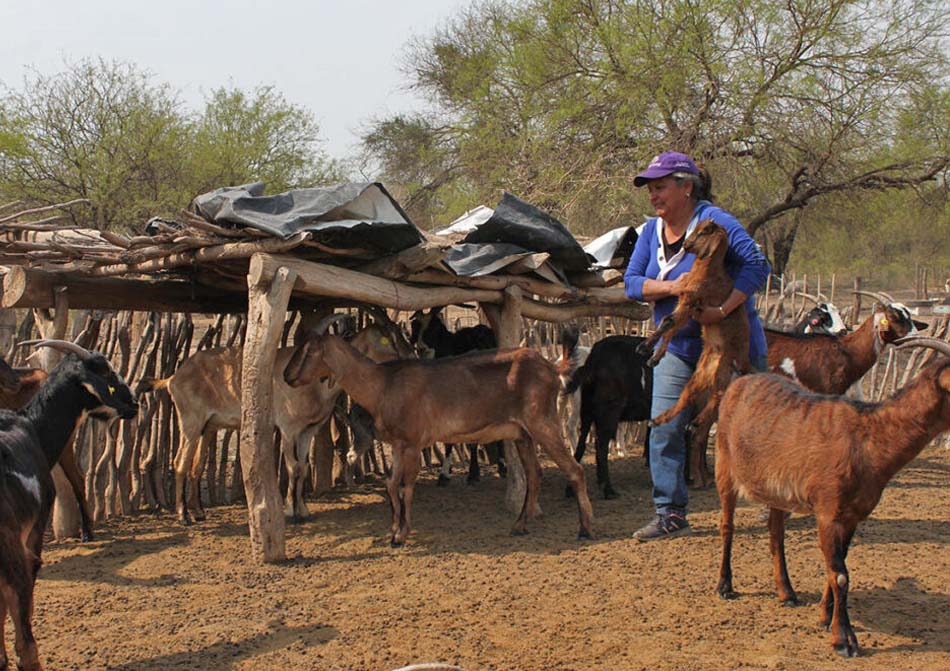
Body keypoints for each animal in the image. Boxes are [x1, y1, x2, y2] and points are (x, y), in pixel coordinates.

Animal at [282, 338, 596, 548]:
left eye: (308, 350)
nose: (286, 375)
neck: (382, 384)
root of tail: (552, 367)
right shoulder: (399, 444)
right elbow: (391, 484)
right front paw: (393, 531)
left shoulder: (412, 443)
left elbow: (407, 488)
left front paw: (403, 534)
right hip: (523, 434)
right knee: (534, 473)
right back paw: (519, 526)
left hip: (543, 423)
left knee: (575, 469)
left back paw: (585, 529)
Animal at [410, 308, 506, 486]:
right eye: (416, 327)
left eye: (435, 329)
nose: (421, 348)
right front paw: (445, 474)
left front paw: (472, 473)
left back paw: (502, 467)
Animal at [564, 336, 656, 498]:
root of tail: (595, 356)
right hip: (609, 409)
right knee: (600, 444)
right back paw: (607, 489)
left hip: (587, 410)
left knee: (582, 442)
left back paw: (571, 488)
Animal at [712, 336, 950, 656]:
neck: (868, 440)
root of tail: (741, 380)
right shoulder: (828, 511)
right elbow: (840, 574)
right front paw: (844, 640)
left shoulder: (851, 516)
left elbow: (835, 566)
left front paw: (825, 617)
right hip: (724, 464)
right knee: (727, 525)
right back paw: (725, 586)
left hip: (776, 487)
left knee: (776, 531)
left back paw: (786, 592)